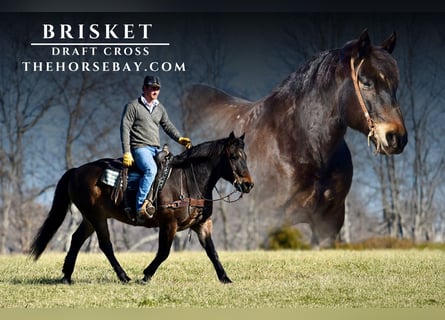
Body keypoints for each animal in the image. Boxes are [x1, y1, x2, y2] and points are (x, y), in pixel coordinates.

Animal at [29, 134, 253, 284]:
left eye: (246, 156)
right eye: (234, 156)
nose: (248, 184)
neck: (188, 180)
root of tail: (76, 171)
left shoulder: (202, 225)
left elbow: (212, 252)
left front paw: (225, 278)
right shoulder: (168, 224)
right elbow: (163, 252)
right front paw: (146, 275)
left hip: (89, 218)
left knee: (76, 239)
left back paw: (67, 276)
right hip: (97, 218)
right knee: (106, 245)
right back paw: (123, 276)